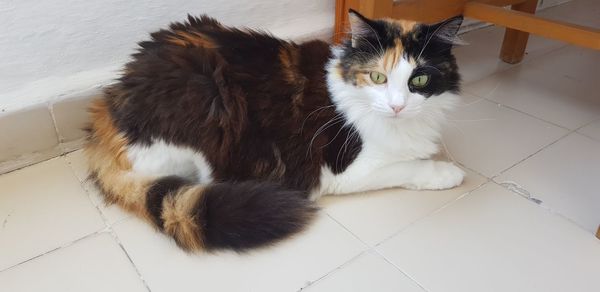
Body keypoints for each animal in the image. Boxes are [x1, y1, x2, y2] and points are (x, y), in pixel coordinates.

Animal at [86, 9, 466, 251]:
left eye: (419, 80)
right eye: (377, 77)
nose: (397, 106)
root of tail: (107, 112)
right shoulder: (343, 171)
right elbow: (408, 167)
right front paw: (446, 172)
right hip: (208, 100)